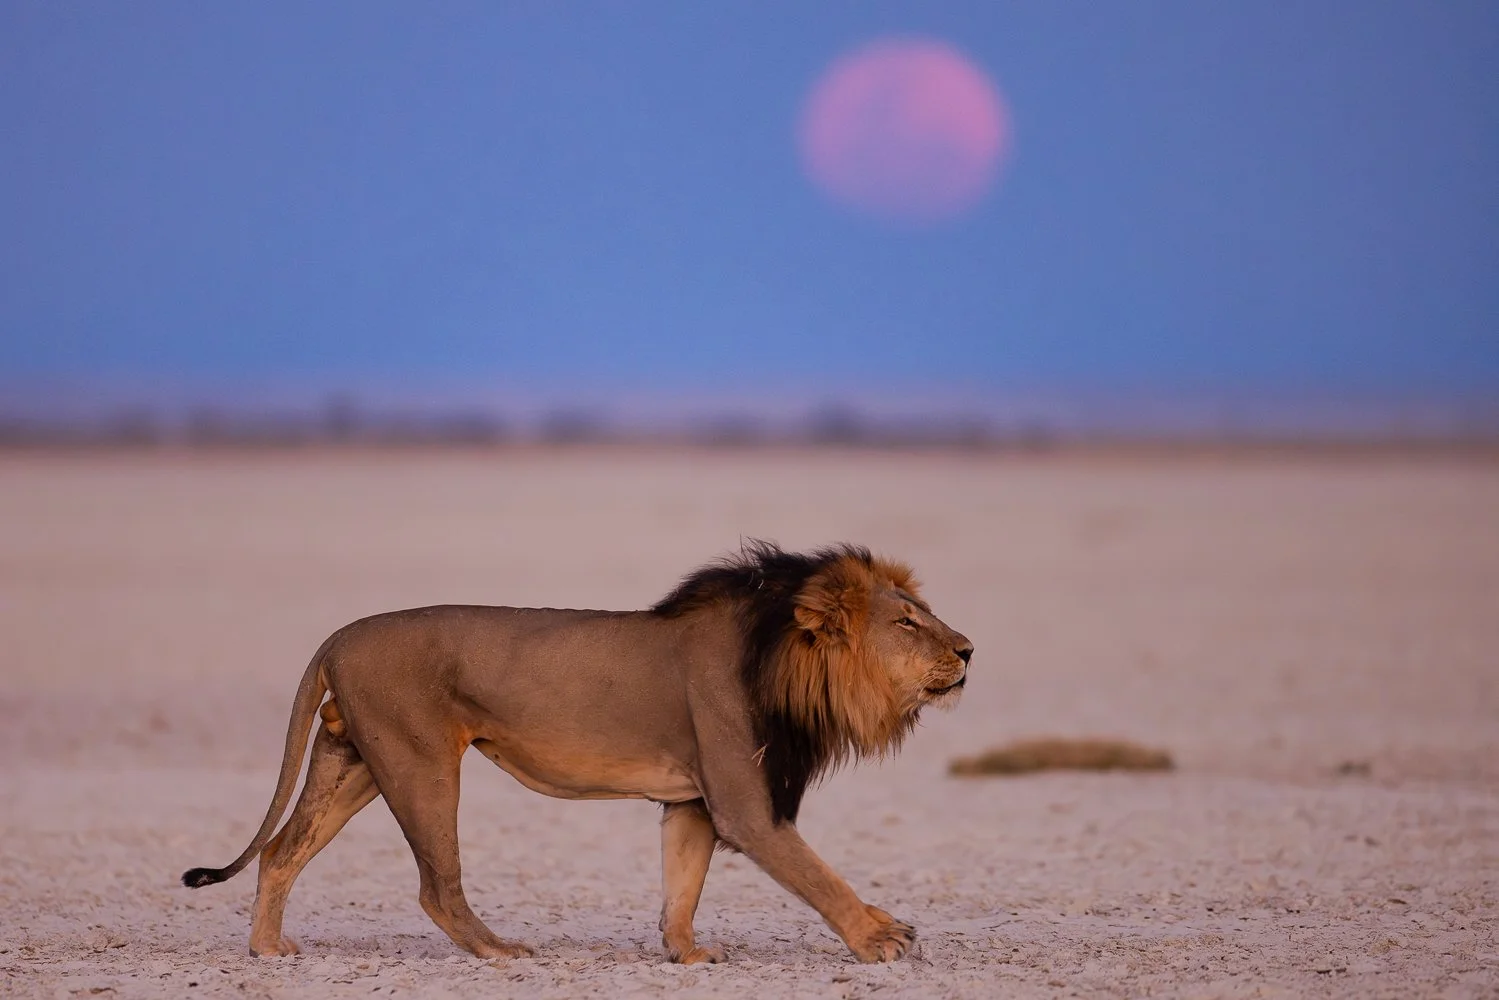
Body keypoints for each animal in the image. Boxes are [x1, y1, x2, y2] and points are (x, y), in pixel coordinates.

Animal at [181, 541, 972, 964]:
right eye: (906, 623)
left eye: (927, 615)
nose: (968, 649)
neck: (780, 656)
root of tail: (337, 635)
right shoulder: (746, 808)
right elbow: (819, 876)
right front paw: (880, 937)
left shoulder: (692, 801)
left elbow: (681, 884)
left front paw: (687, 953)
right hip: (420, 763)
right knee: (436, 885)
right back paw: (499, 952)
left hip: (353, 762)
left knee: (281, 851)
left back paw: (268, 950)